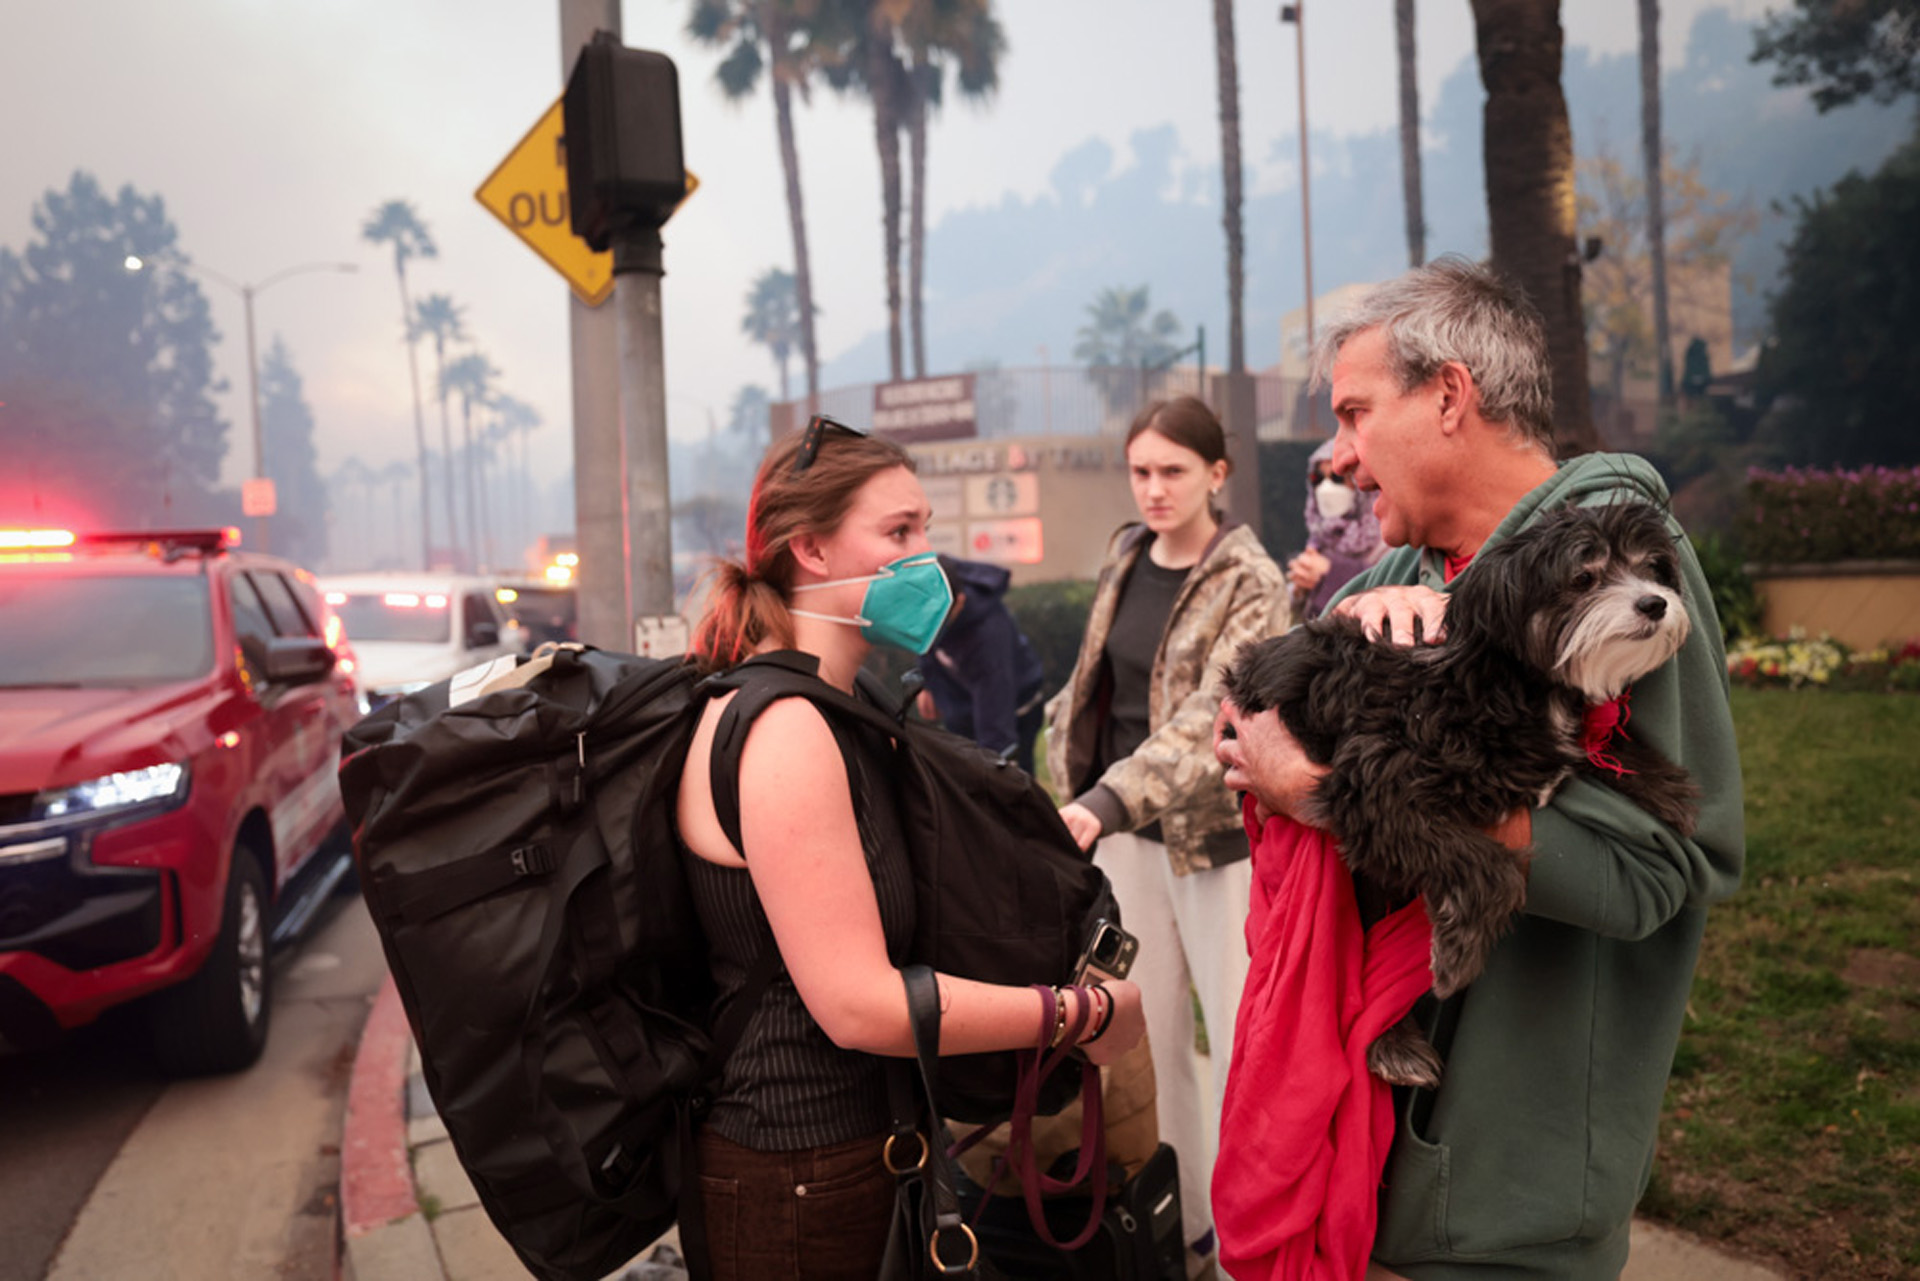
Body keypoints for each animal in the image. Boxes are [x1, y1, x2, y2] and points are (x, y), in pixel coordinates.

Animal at [1228, 499, 1697, 1083]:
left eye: (1651, 567)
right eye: (1583, 578)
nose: (1655, 602)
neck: (1507, 685)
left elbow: (1597, 752)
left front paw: (1662, 785)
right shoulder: (1375, 787)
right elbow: (1489, 866)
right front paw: (1460, 950)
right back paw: (1392, 1042)